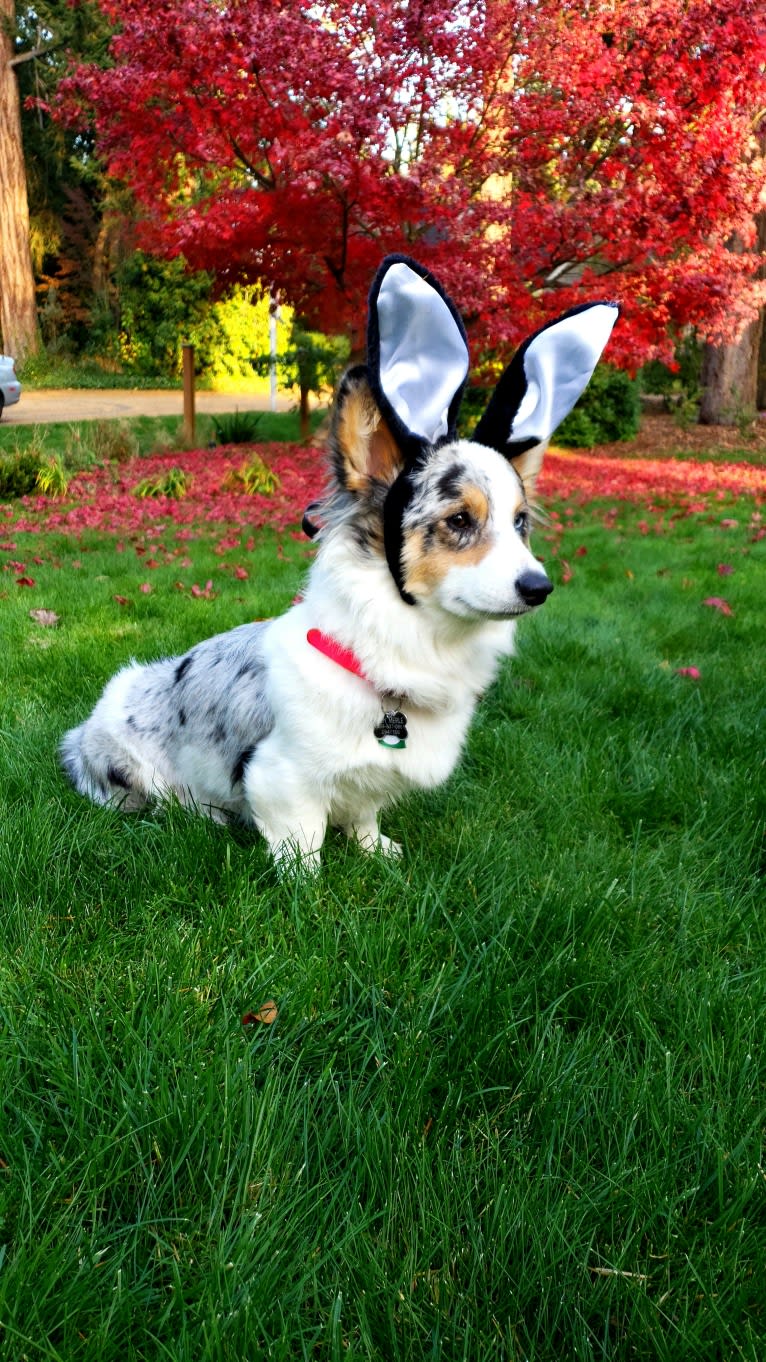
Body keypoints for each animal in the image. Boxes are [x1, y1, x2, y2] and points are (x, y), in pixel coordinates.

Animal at [62, 256, 616, 871]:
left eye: (520, 522)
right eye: (459, 520)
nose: (539, 587)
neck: (400, 656)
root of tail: (79, 736)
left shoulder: (370, 783)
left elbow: (365, 815)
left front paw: (379, 851)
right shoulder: (282, 780)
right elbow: (303, 845)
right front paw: (307, 883)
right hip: (132, 766)